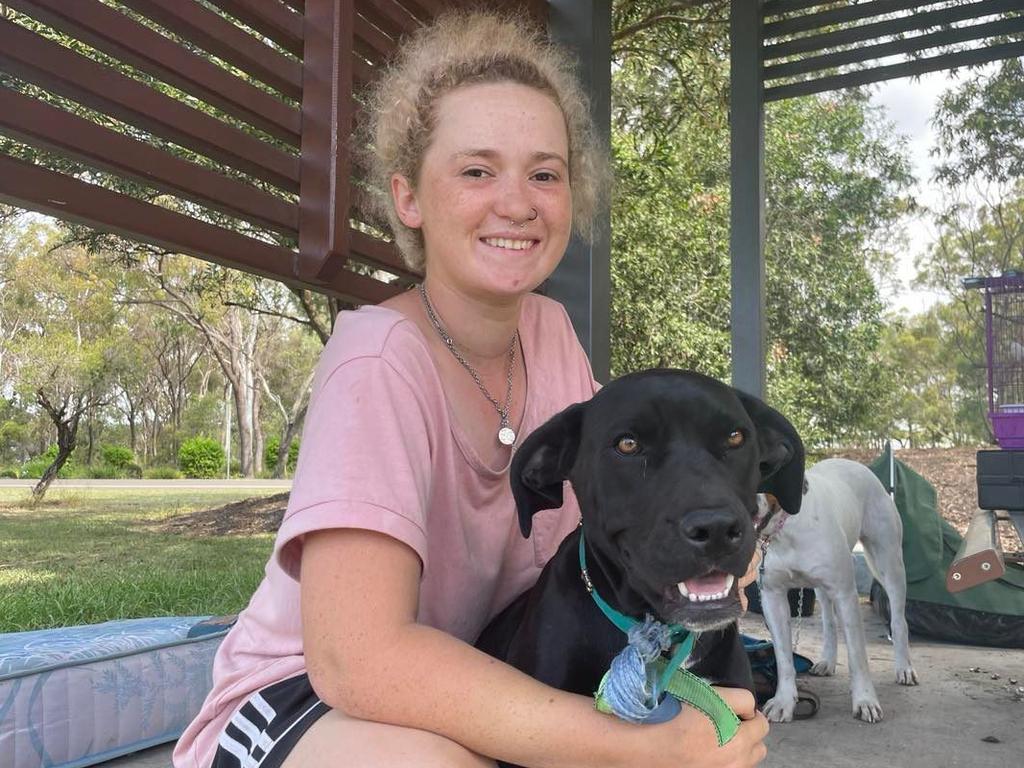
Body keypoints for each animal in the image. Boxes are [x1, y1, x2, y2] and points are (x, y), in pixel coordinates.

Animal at [753, 460, 921, 724]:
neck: (787, 530)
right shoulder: (772, 597)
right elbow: (783, 658)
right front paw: (784, 701)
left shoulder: (845, 594)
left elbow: (858, 656)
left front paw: (865, 701)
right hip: (823, 587)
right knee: (829, 623)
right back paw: (828, 661)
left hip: (889, 562)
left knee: (898, 620)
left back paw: (904, 667)